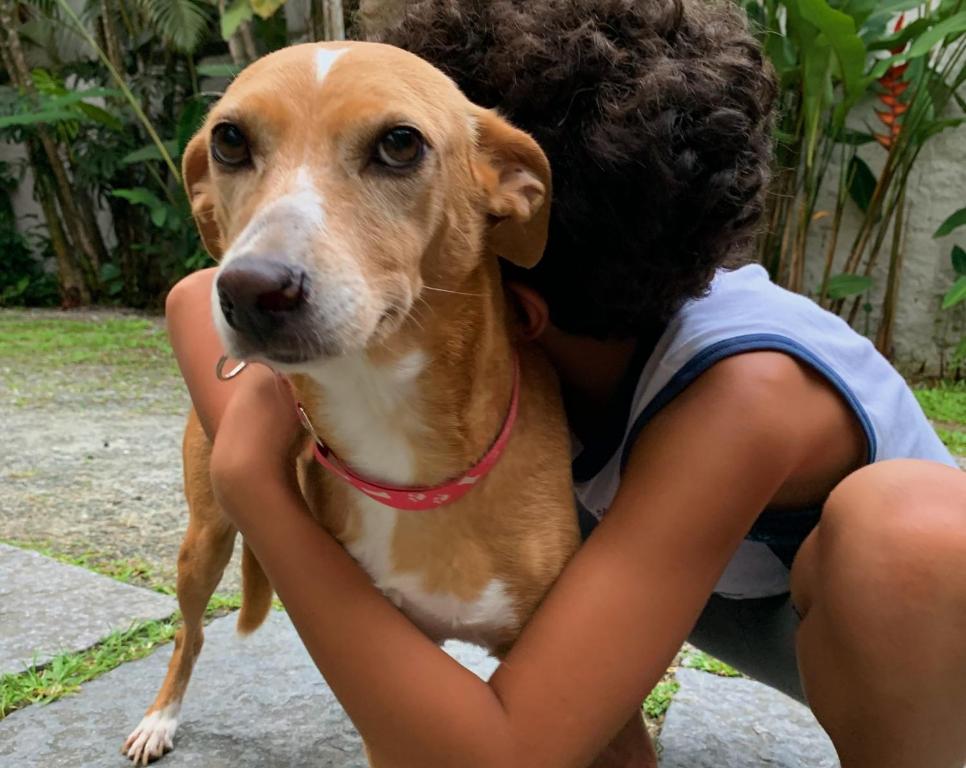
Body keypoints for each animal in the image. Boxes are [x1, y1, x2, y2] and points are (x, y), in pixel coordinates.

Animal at [125, 43, 588, 768]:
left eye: (399, 143)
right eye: (230, 140)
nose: (250, 290)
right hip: (203, 540)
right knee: (189, 632)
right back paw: (159, 716)